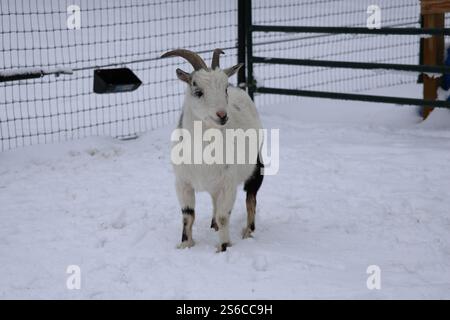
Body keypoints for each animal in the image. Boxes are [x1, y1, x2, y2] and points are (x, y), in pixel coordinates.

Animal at [163, 48, 264, 252]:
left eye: (224, 89)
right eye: (198, 91)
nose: (222, 115)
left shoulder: (228, 183)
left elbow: (224, 216)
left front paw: (223, 247)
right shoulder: (182, 182)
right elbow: (188, 215)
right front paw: (185, 244)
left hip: (256, 166)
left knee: (251, 199)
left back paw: (248, 231)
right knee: (214, 200)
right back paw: (214, 225)